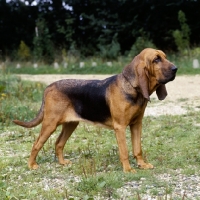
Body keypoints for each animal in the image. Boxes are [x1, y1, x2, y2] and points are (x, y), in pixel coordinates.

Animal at [13, 48, 177, 172]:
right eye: (156, 59)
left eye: (164, 57)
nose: (176, 69)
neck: (132, 87)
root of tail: (48, 87)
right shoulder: (120, 127)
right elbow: (124, 151)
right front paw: (128, 169)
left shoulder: (136, 125)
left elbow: (138, 149)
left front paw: (142, 165)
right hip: (50, 124)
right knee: (36, 144)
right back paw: (31, 165)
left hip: (71, 124)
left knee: (59, 143)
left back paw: (62, 162)